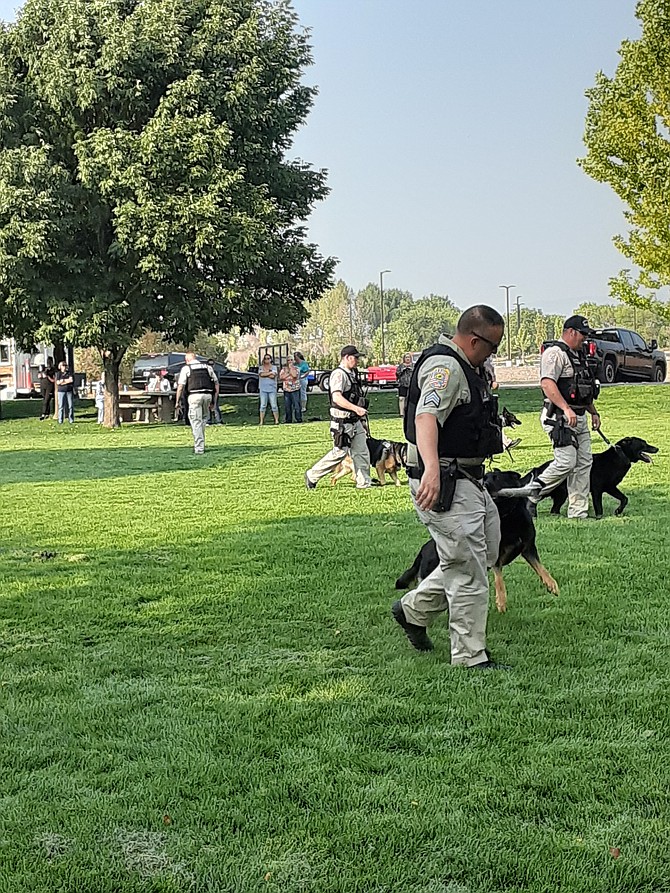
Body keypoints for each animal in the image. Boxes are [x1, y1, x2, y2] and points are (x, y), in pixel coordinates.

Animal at [396, 466, 560, 612]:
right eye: (485, 478)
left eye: (497, 478)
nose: (485, 485)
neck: (508, 515)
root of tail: (422, 550)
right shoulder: (496, 556)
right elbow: (499, 579)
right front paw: (501, 601)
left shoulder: (528, 548)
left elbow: (541, 568)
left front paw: (551, 584)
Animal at [524, 436, 660, 520]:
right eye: (643, 443)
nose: (657, 448)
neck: (620, 456)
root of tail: (538, 468)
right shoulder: (597, 490)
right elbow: (599, 506)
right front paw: (599, 518)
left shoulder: (610, 487)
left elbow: (624, 499)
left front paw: (618, 511)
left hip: (562, 494)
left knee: (554, 509)